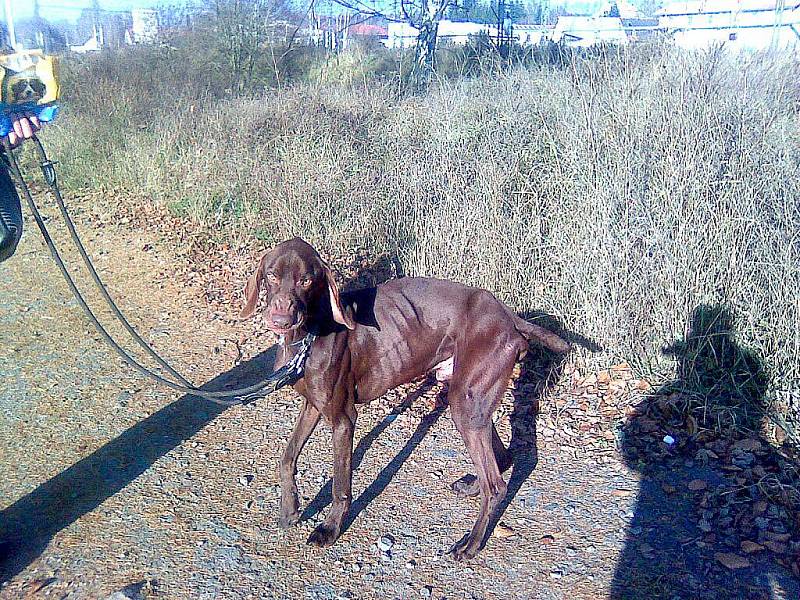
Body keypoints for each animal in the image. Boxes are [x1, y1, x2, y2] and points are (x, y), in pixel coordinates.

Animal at [239, 237, 568, 560]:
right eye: (271, 275)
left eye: (306, 280)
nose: (281, 319)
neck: (312, 330)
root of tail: (509, 316)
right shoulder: (313, 406)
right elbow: (287, 457)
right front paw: (290, 509)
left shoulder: (343, 419)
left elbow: (340, 485)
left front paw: (329, 529)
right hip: (471, 398)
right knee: (500, 458)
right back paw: (473, 486)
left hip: (466, 401)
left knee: (496, 486)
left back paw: (471, 544)